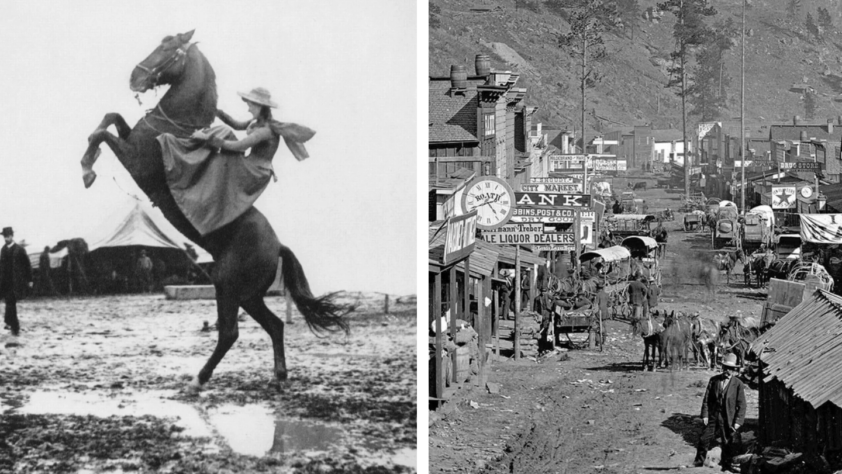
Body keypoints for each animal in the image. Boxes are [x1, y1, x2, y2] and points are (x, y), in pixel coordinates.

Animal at [79, 30, 348, 392]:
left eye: (167, 48)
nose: (134, 78)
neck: (174, 127)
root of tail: (278, 246)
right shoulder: (130, 139)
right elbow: (111, 118)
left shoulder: (134, 159)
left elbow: (101, 133)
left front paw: (87, 170)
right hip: (249, 296)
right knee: (274, 324)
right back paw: (279, 376)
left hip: (228, 287)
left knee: (230, 333)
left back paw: (198, 379)